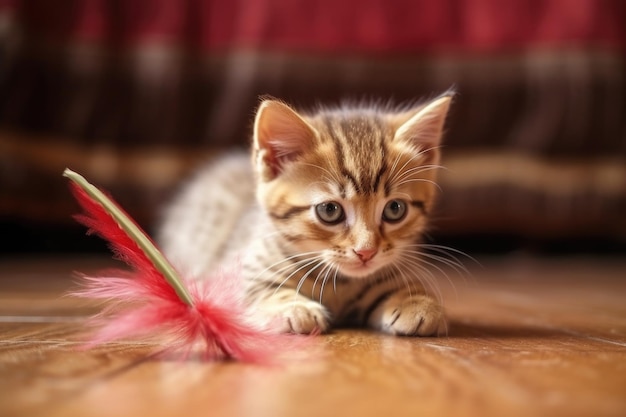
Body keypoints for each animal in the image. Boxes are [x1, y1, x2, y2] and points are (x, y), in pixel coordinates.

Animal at [158, 92, 450, 336]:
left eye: (394, 209)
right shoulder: (236, 273)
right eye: (330, 211)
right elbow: (258, 290)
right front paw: (291, 307)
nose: (366, 252)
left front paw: (416, 301)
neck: (339, 283)